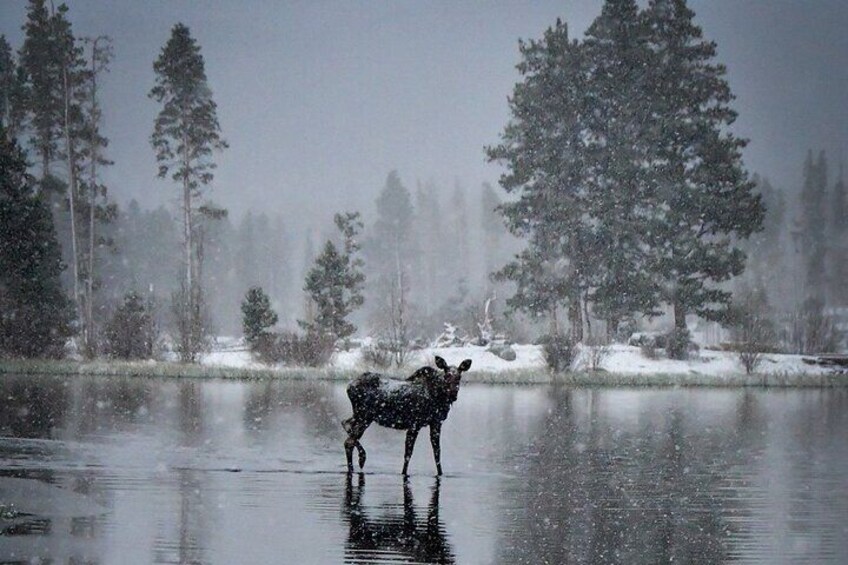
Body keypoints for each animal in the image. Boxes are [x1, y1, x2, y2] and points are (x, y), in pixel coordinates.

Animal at [342, 354, 470, 474]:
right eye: (447, 376)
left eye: (459, 377)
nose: (453, 394)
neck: (438, 397)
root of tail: (349, 387)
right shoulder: (414, 424)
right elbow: (408, 453)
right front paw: (403, 472)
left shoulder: (436, 423)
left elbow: (437, 452)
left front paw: (440, 472)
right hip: (364, 416)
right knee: (349, 441)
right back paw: (360, 459)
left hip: (359, 415)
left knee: (345, 424)